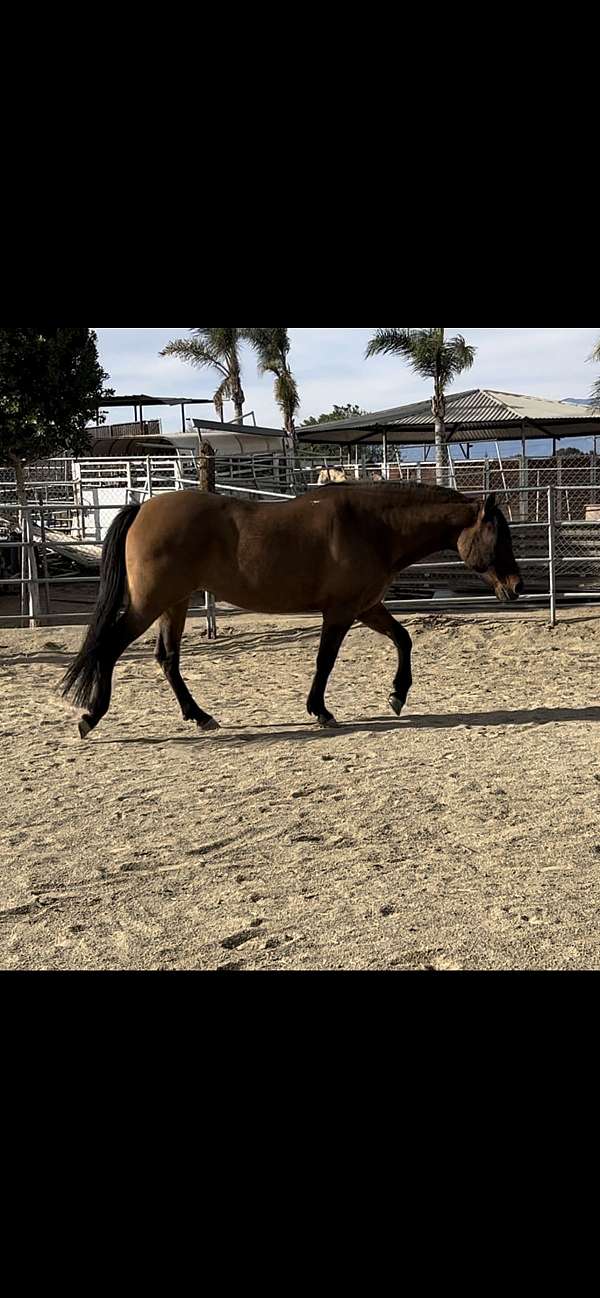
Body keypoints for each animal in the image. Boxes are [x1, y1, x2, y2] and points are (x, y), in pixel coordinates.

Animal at [58, 480, 522, 742]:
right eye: (498, 537)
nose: (516, 587)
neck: (374, 526)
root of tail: (143, 508)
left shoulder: (367, 607)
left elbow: (403, 639)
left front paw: (397, 696)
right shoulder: (340, 612)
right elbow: (325, 661)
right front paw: (321, 711)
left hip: (174, 603)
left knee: (167, 659)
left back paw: (200, 717)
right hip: (151, 603)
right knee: (110, 649)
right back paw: (91, 717)